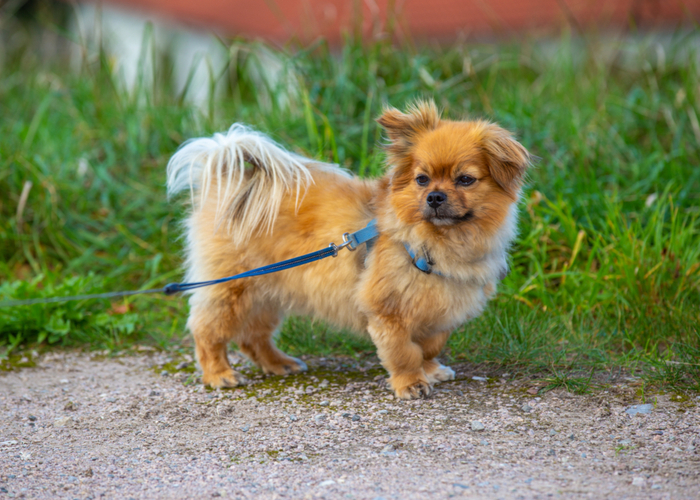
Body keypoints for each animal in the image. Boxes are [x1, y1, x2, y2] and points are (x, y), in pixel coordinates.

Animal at [168, 100, 532, 398]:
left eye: (465, 180)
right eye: (422, 180)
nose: (434, 197)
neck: (436, 242)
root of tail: (231, 183)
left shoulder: (439, 314)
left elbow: (428, 347)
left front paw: (430, 370)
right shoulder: (386, 311)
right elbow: (403, 351)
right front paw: (411, 383)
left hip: (268, 290)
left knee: (253, 336)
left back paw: (279, 363)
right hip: (232, 288)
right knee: (207, 331)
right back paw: (219, 374)